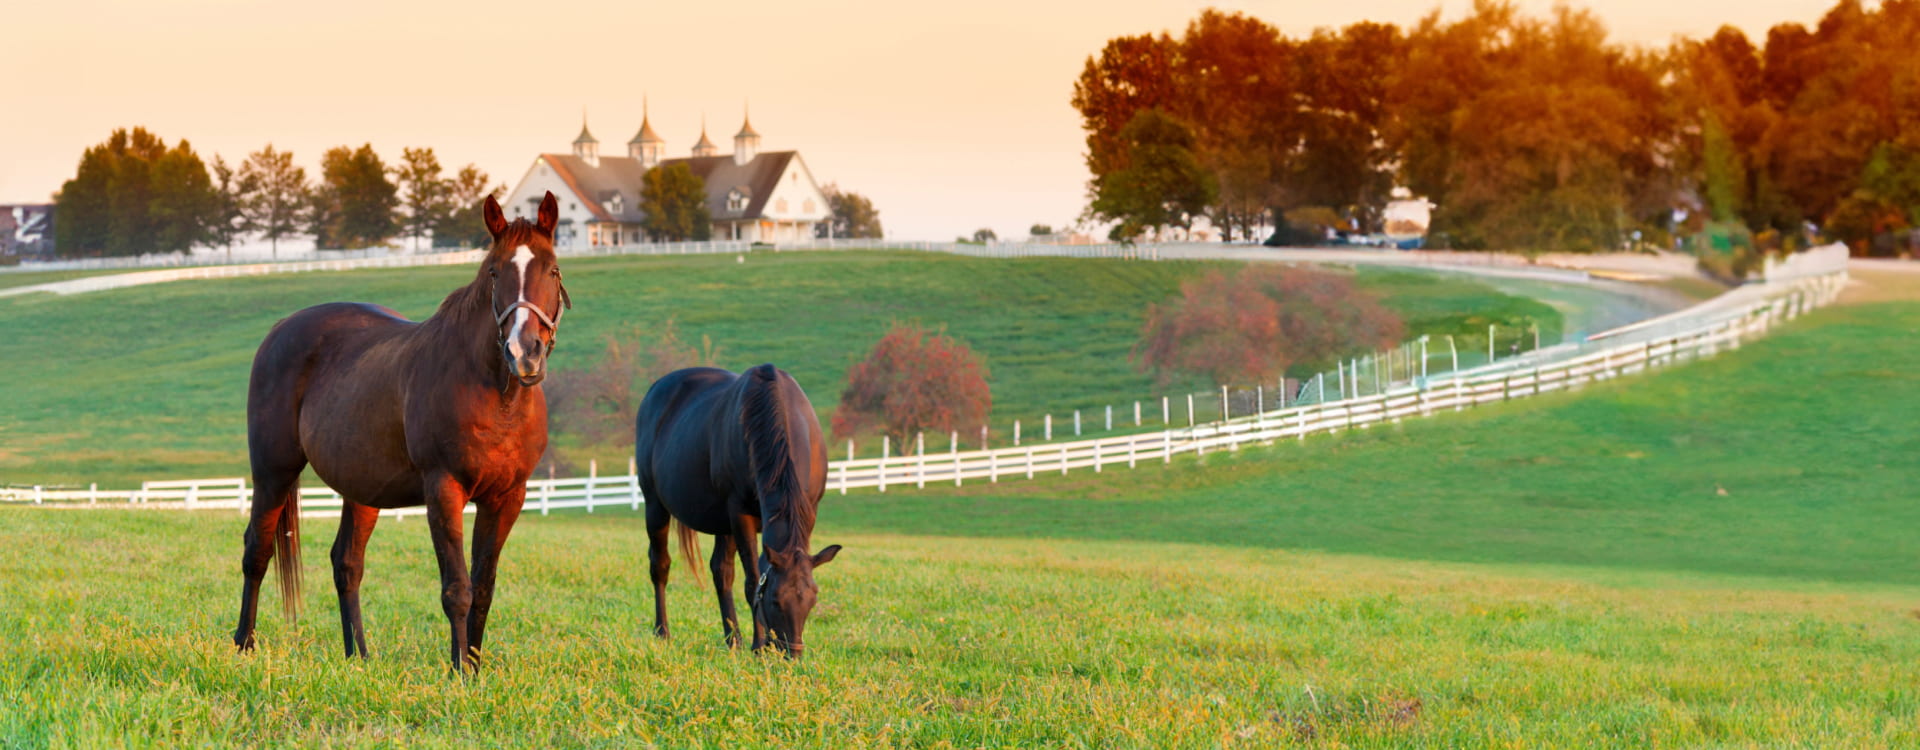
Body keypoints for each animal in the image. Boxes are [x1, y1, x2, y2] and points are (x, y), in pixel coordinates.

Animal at [231, 190, 568, 671]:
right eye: (494, 272)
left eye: (553, 270)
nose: (525, 353)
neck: (495, 394)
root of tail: (280, 329)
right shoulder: (444, 489)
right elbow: (457, 589)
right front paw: (459, 673)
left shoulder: (507, 498)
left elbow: (483, 588)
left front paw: (475, 667)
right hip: (273, 472)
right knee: (257, 551)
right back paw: (244, 644)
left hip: (361, 488)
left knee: (346, 563)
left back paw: (358, 656)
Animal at [637, 364, 840, 659]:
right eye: (775, 601)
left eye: (812, 599)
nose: (792, 655)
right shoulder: (740, 515)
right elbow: (753, 581)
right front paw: (759, 646)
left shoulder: (807, 512)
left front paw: (757, 643)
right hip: (655, 505)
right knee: (660, 565)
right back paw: (662, 631)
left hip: (722, 524)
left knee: (721, 572)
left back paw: (733, 640)